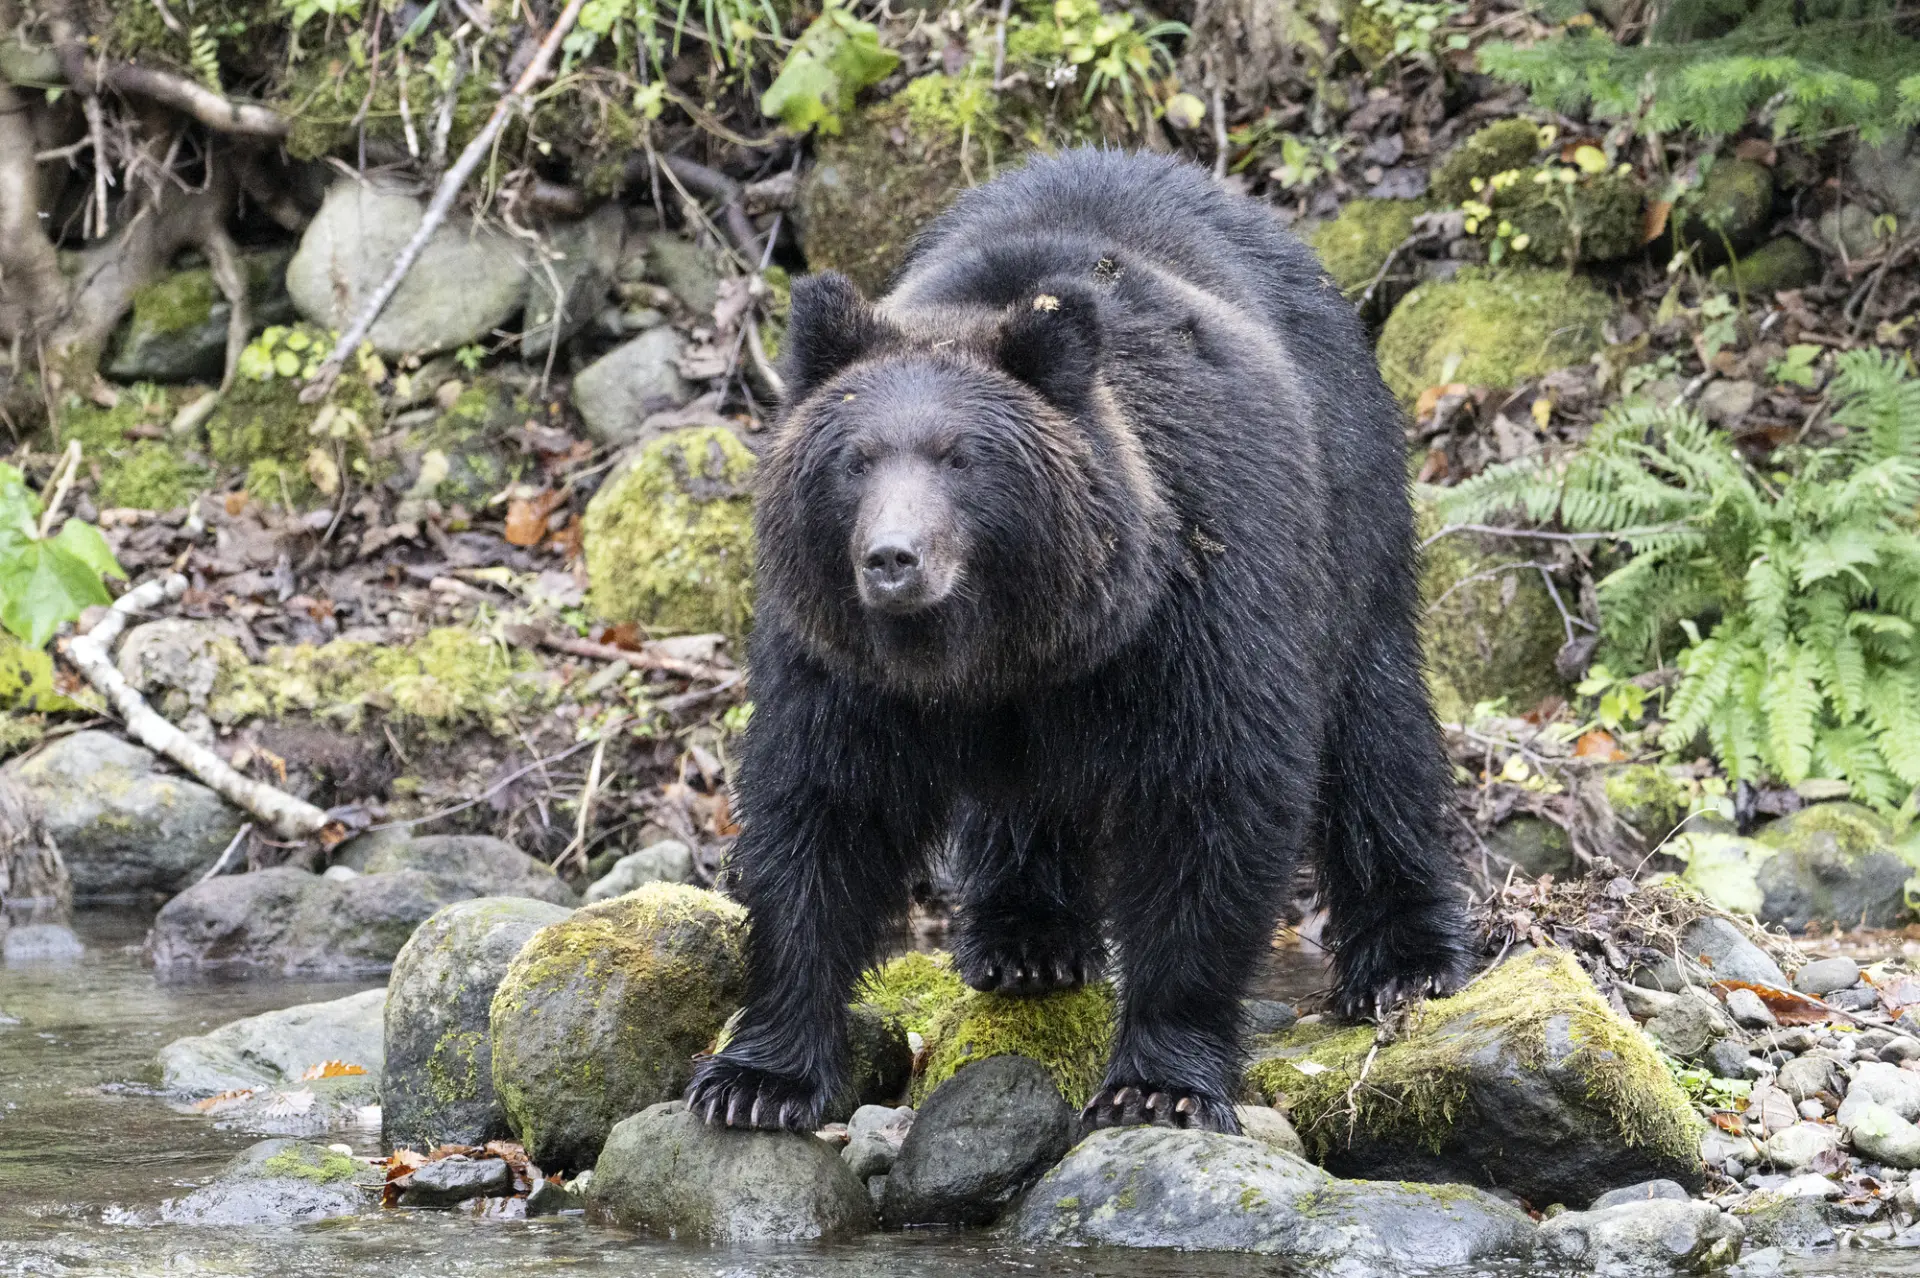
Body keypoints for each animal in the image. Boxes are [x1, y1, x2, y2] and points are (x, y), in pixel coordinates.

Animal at [686, 148, 1471, 1134]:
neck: (1009, 641)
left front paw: (1160, 1080)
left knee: (1376, 728)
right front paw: (758, 1078)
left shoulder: (1198, 609)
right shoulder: (843, 664)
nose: (892, 559)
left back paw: (1406, 960)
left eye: (961, 455)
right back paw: (1025, 935)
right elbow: (820, 810)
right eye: (855, 459)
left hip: (1350, 511)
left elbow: (1209, 802)